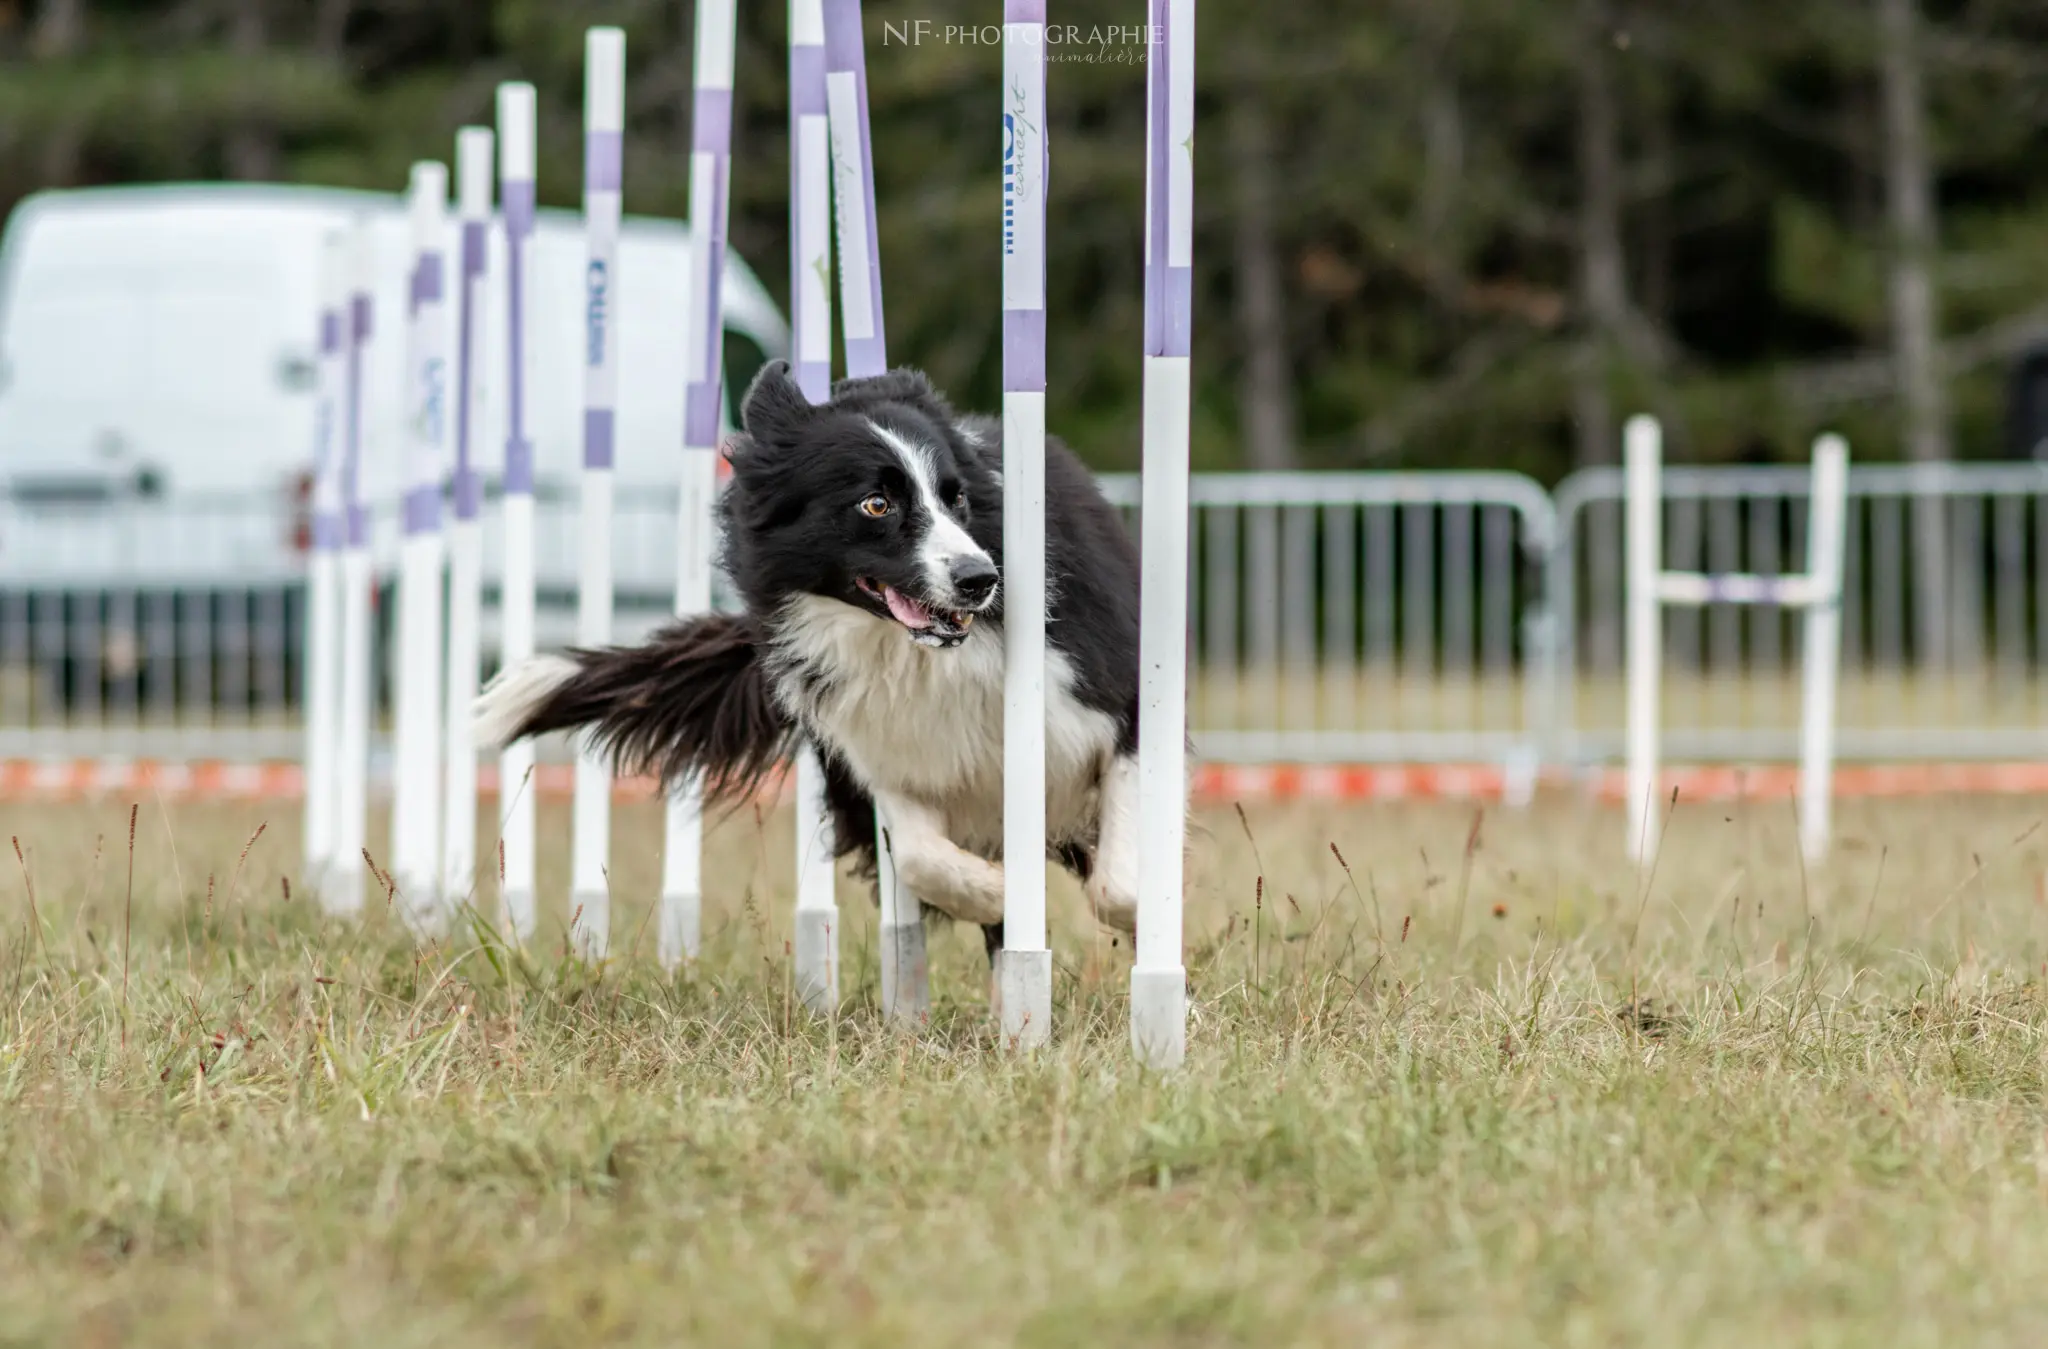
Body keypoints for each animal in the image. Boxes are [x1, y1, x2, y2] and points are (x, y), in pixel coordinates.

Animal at [468, 364, 1163, 953]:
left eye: (957, 498)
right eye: (877, 503)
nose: (979, 579)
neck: (909, 652)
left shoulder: (1115, 703)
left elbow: (1120, 885)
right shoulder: (882, 751)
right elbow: (920, 855)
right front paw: (995, 891)